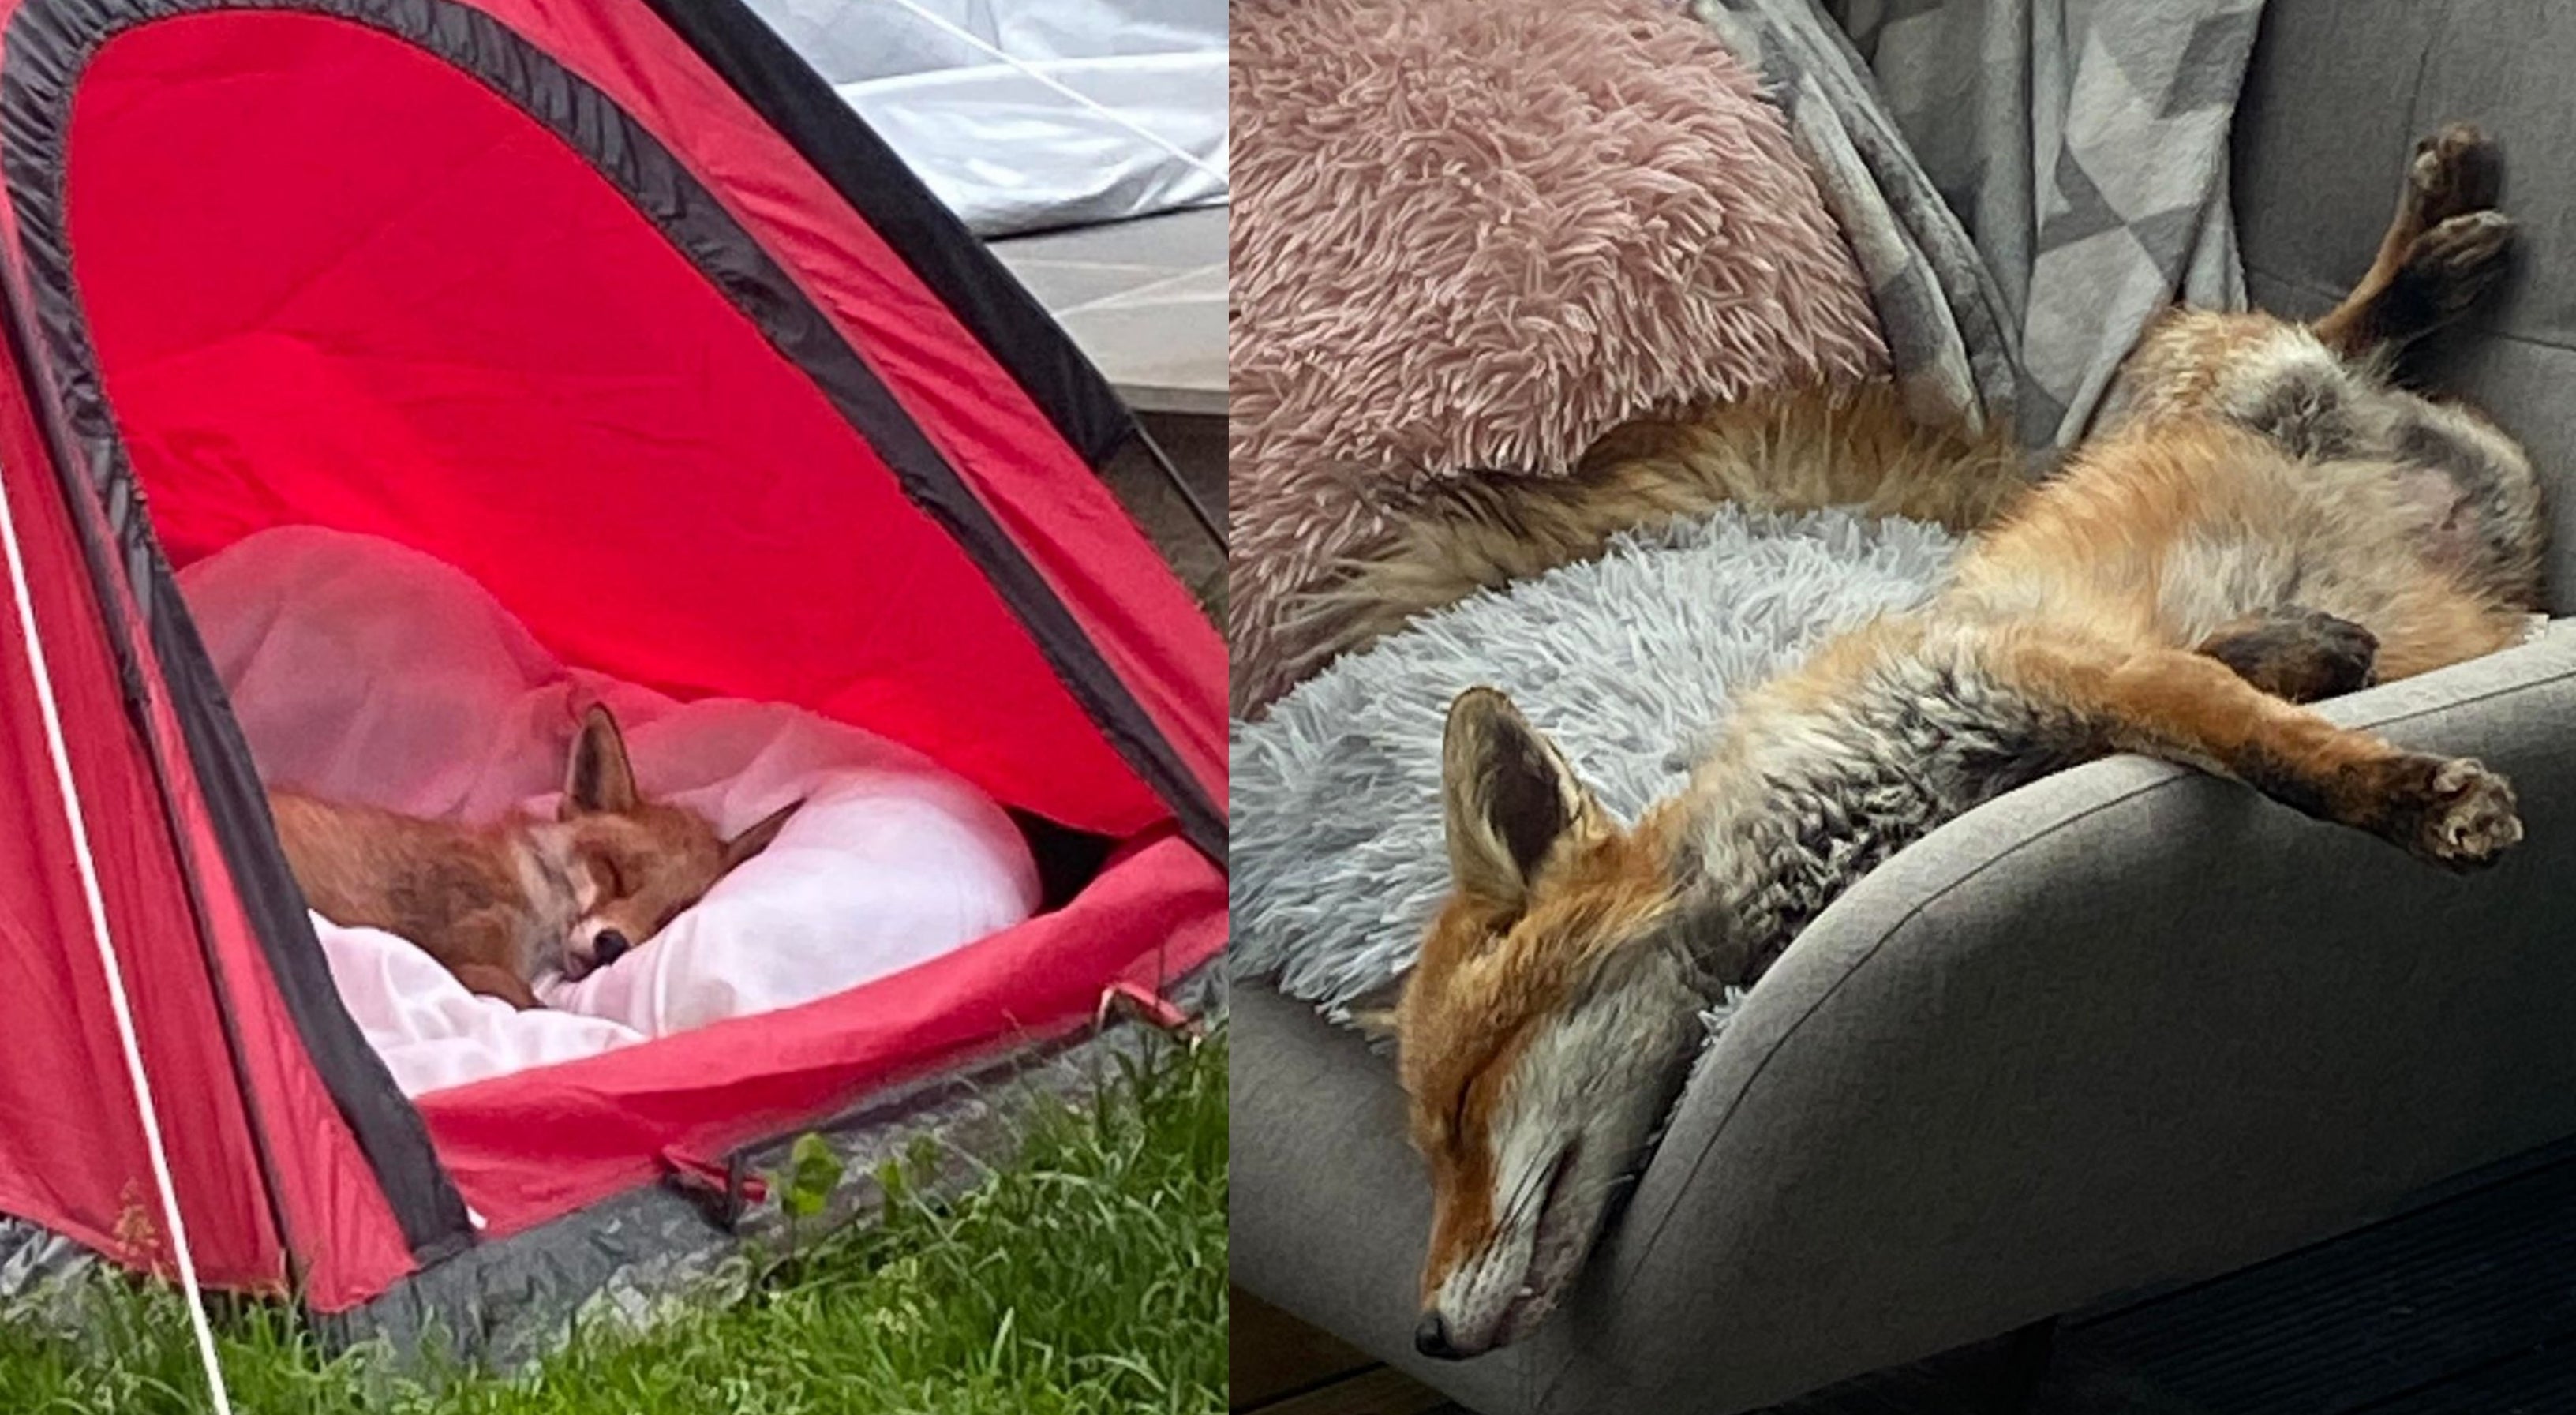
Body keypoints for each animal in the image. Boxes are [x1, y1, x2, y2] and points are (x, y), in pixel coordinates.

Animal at [1391, 126, 2534, 1350]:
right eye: (1432, 1149)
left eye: (1461, 1110)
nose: (1426, 1333)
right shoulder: (2078, 686)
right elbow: (2251, 675)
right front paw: (2319, 653)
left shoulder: (2047, 669)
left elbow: (2267, 749)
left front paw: (2413, 796)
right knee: (2342, 344)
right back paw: (2439, 259)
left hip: (2245, 389)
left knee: (2317, 329)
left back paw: (2434, 235)